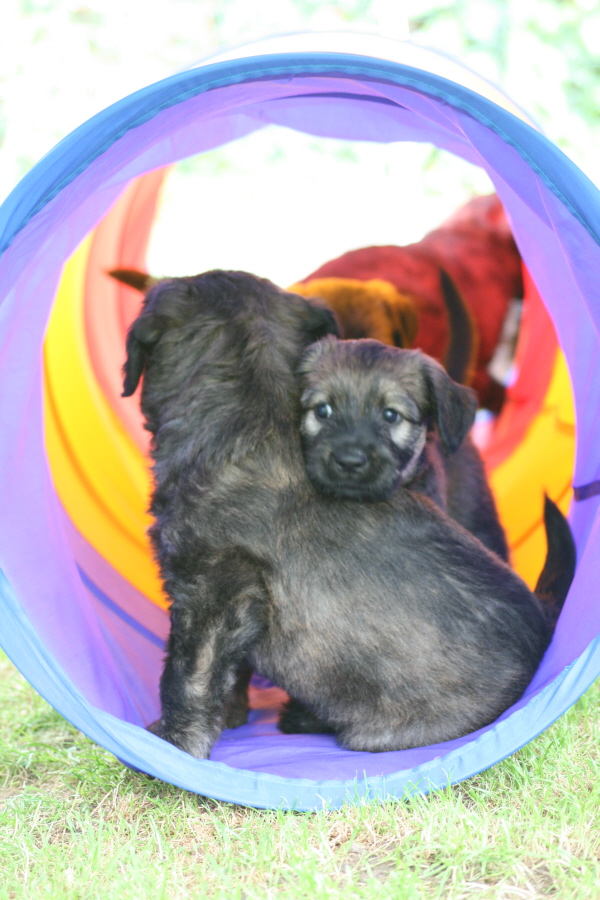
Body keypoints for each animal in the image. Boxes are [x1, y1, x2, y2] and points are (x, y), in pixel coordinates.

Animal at [124, 268, 576, 760]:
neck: (250, 408)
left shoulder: (211, 595)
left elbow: (188, 678)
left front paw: (168, 746)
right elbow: (228, 672)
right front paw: (230, 717)